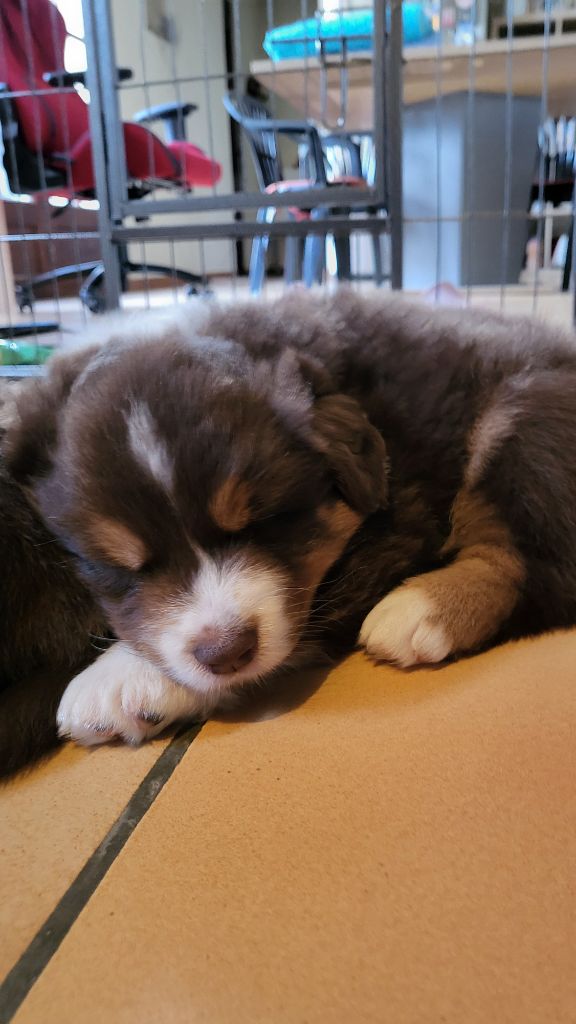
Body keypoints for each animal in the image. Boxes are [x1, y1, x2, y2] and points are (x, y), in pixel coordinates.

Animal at [3, 289, 576, 771]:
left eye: (268, 521)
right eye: (120, 569)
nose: (225, 652)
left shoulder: (401, 516)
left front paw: (122, 680)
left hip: (519, 412)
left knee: (533, 565)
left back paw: (423, 610)